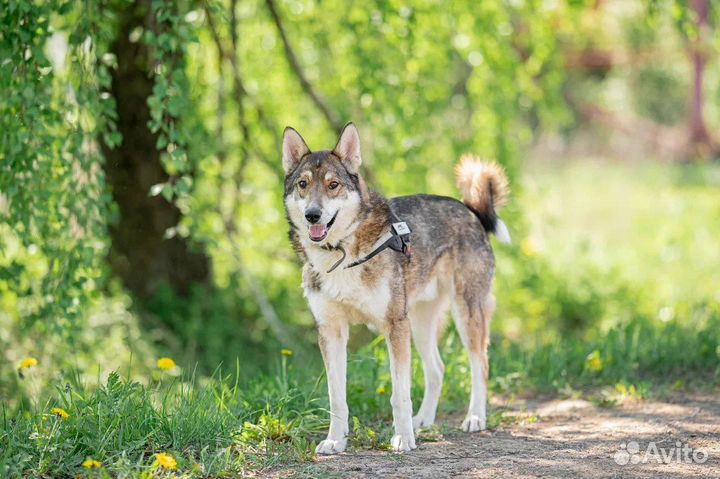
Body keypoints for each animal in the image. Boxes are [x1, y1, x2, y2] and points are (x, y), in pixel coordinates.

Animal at [282, 124, 512, 454]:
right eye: (302, 184)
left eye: (333, 185)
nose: (312, 215)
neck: (342, 253)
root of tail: (470, 210)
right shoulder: (331, 331)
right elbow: (336, 397)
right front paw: (335, 440)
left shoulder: (394, 326)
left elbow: (399, 394)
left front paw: (403, 438)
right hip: (419, 322)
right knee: (437, 369)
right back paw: (424, 420)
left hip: (465, 314)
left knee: (480, 364)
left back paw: (475, 418)